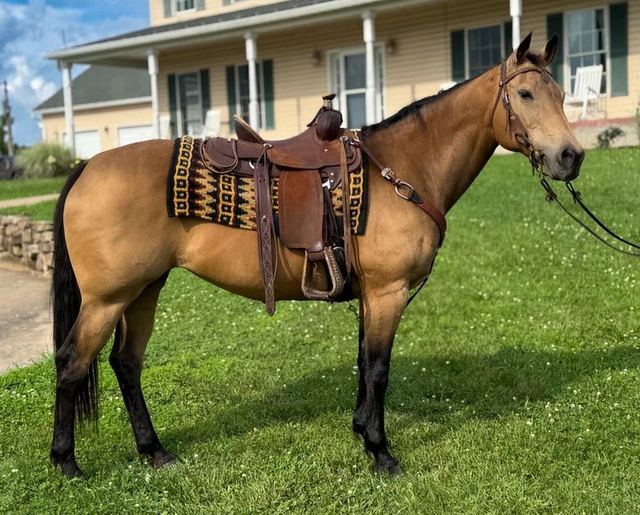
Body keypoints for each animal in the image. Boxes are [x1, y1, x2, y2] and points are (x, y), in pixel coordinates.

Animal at [50, 33, 584, 478]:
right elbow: (379, 369)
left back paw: (154, 451)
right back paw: (66, 462)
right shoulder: (388, 293)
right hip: (107, 299)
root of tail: (87, 166)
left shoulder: (371, 296)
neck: (404, 167)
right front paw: (381, 451)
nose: (571, 157)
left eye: (561, 95)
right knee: (73, 363)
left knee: (126, 364)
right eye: (526, 95)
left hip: (144, 289)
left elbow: (363, 363)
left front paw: (361, 430)